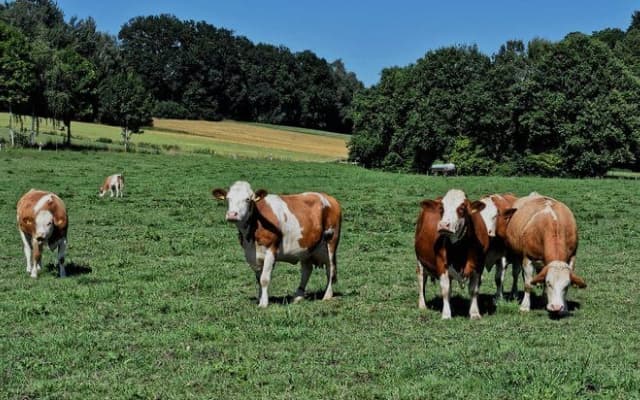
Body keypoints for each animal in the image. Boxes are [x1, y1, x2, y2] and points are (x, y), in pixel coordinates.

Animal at [211, 181, 342, 310]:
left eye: (247, 199)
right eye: (228, 198)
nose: (232, 214)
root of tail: (328, 197)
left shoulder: (271, 250)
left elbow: (264, 279)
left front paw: (264, 303)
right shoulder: (251, 254)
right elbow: (258, 279)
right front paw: (260, 299)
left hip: (331, 242)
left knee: (330, 269)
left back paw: (327, 295)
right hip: (306, 248)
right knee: (307, 270)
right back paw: (298, 296)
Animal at [416, 189, 490, 320]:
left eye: (462, 208)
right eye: (441, 208)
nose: (444, 225)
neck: (459, 251)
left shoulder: (479, 265)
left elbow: (474, 289)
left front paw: (475, 313)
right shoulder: (441, 264)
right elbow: (445, 289)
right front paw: (446, 314)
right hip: (420, 260)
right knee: (421, 280)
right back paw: (422, 305)